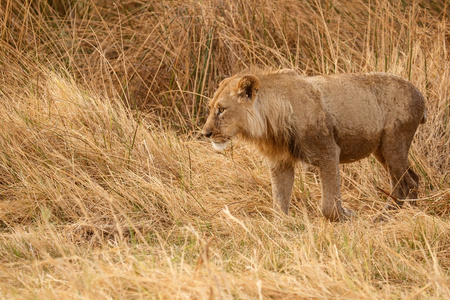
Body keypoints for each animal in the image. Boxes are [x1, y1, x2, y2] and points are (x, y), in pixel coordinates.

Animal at [202, 69, 428, 221]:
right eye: (210, 107)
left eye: (221, 110)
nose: (205, 133)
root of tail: (419, 93)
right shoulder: (280, 163)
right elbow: (279, 203)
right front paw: (282, 228)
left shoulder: (328, 152)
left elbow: (329, 207)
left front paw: (348, 215)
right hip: (381, 150)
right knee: (409, 180)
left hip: (394, 143)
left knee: (406, 183)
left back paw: (388, 217)